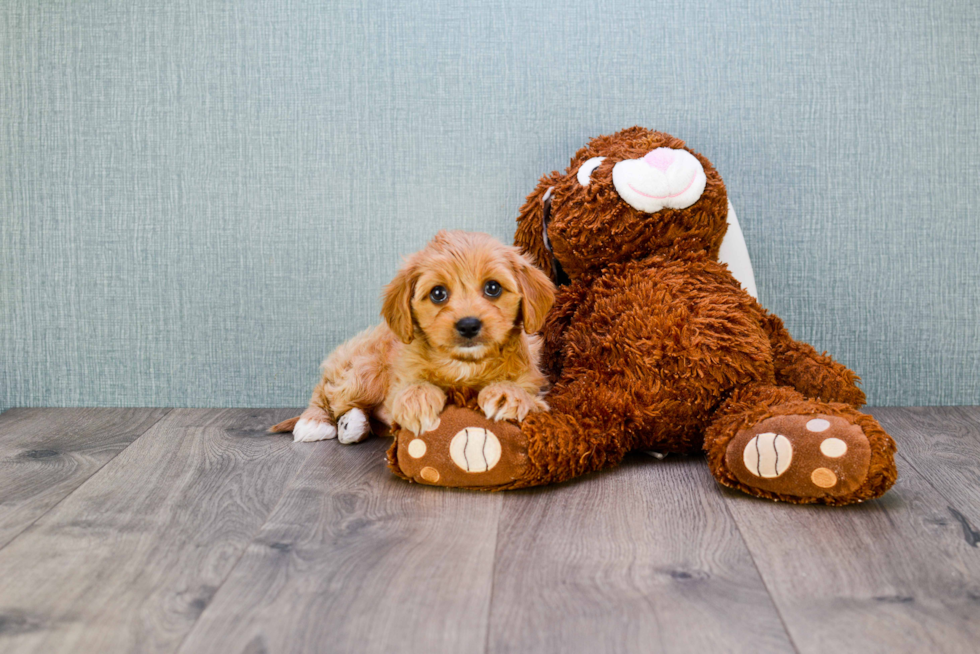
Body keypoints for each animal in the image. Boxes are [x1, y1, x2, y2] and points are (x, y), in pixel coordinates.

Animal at [272, 231, 556, 446]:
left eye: (493, 288)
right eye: (438, 293)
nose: (468, 325)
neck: (465, 364)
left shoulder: (535, 385)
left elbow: (523, 390)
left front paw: (506, 394)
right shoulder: (399, 376)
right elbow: (412, 386)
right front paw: (417, 401)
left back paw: (353, 424)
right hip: (365, 371)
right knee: (326, 391)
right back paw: (315, 422)